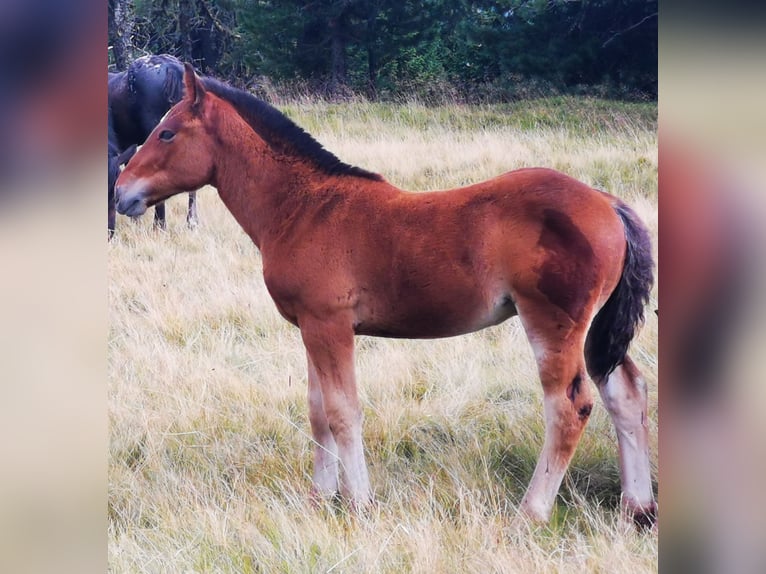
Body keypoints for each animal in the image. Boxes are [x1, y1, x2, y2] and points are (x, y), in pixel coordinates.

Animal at [117, 65, 656, 528]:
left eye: (167, 133)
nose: (122, 193)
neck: (304, 208)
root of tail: (606, 203)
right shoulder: (309, 328)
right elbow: (317, 412)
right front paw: (320, 499)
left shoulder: (330, 325)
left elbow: (343, 413)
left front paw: (358, 504)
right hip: (597, 329)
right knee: (626, 393)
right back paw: (637, 508)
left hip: (552, 324)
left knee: (570, 407)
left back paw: (531, 513)